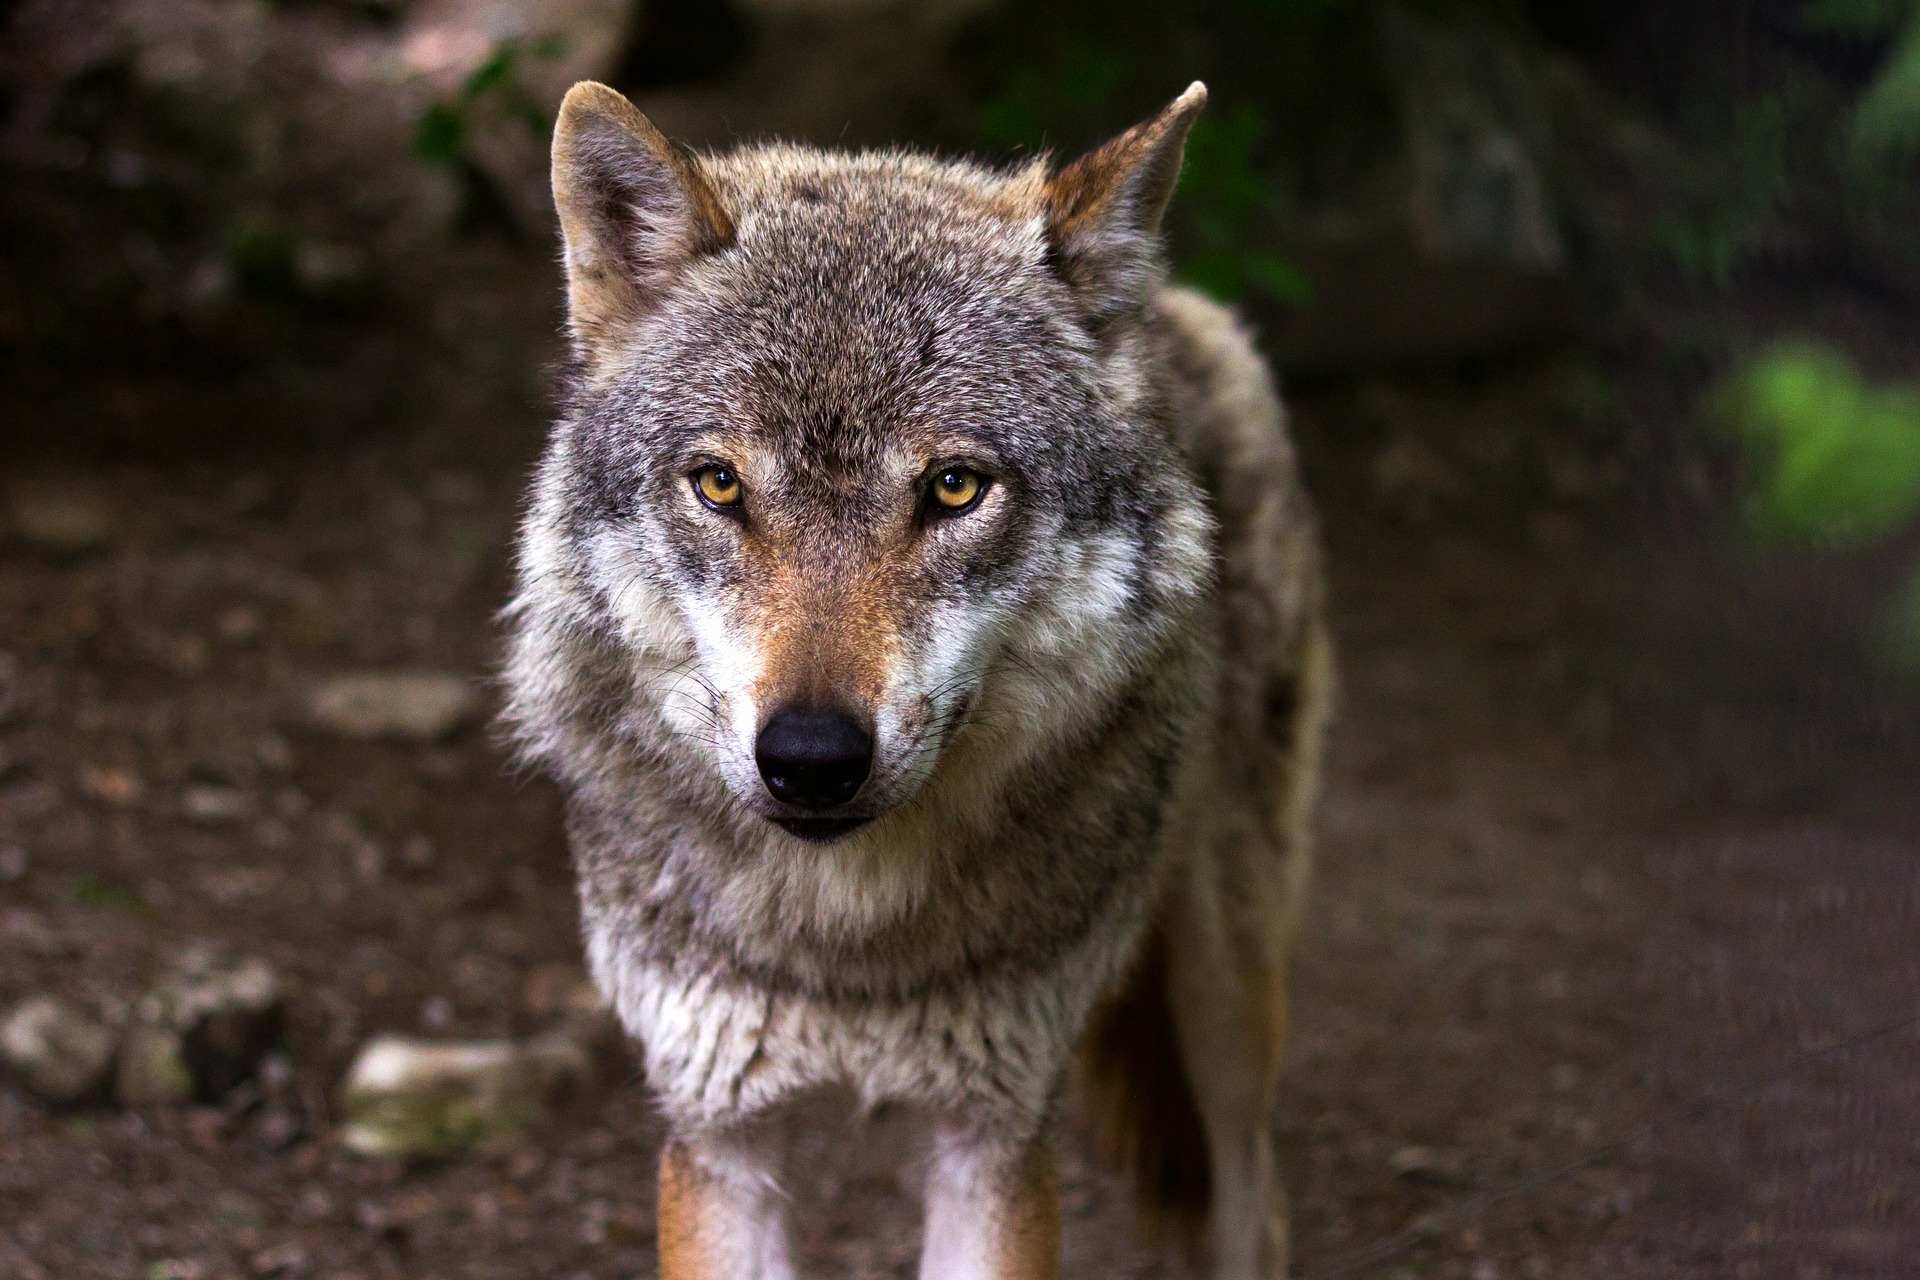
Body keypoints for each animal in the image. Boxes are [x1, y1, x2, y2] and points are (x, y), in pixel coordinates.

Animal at [503, 80, 1328, 1280]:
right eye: (719, 483)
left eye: (953, 487)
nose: (810, 758)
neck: (847, 945)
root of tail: (1170, 306)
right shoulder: (719, 1135)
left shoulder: (993, 1135)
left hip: (1227, 994)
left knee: (1255, 1199)